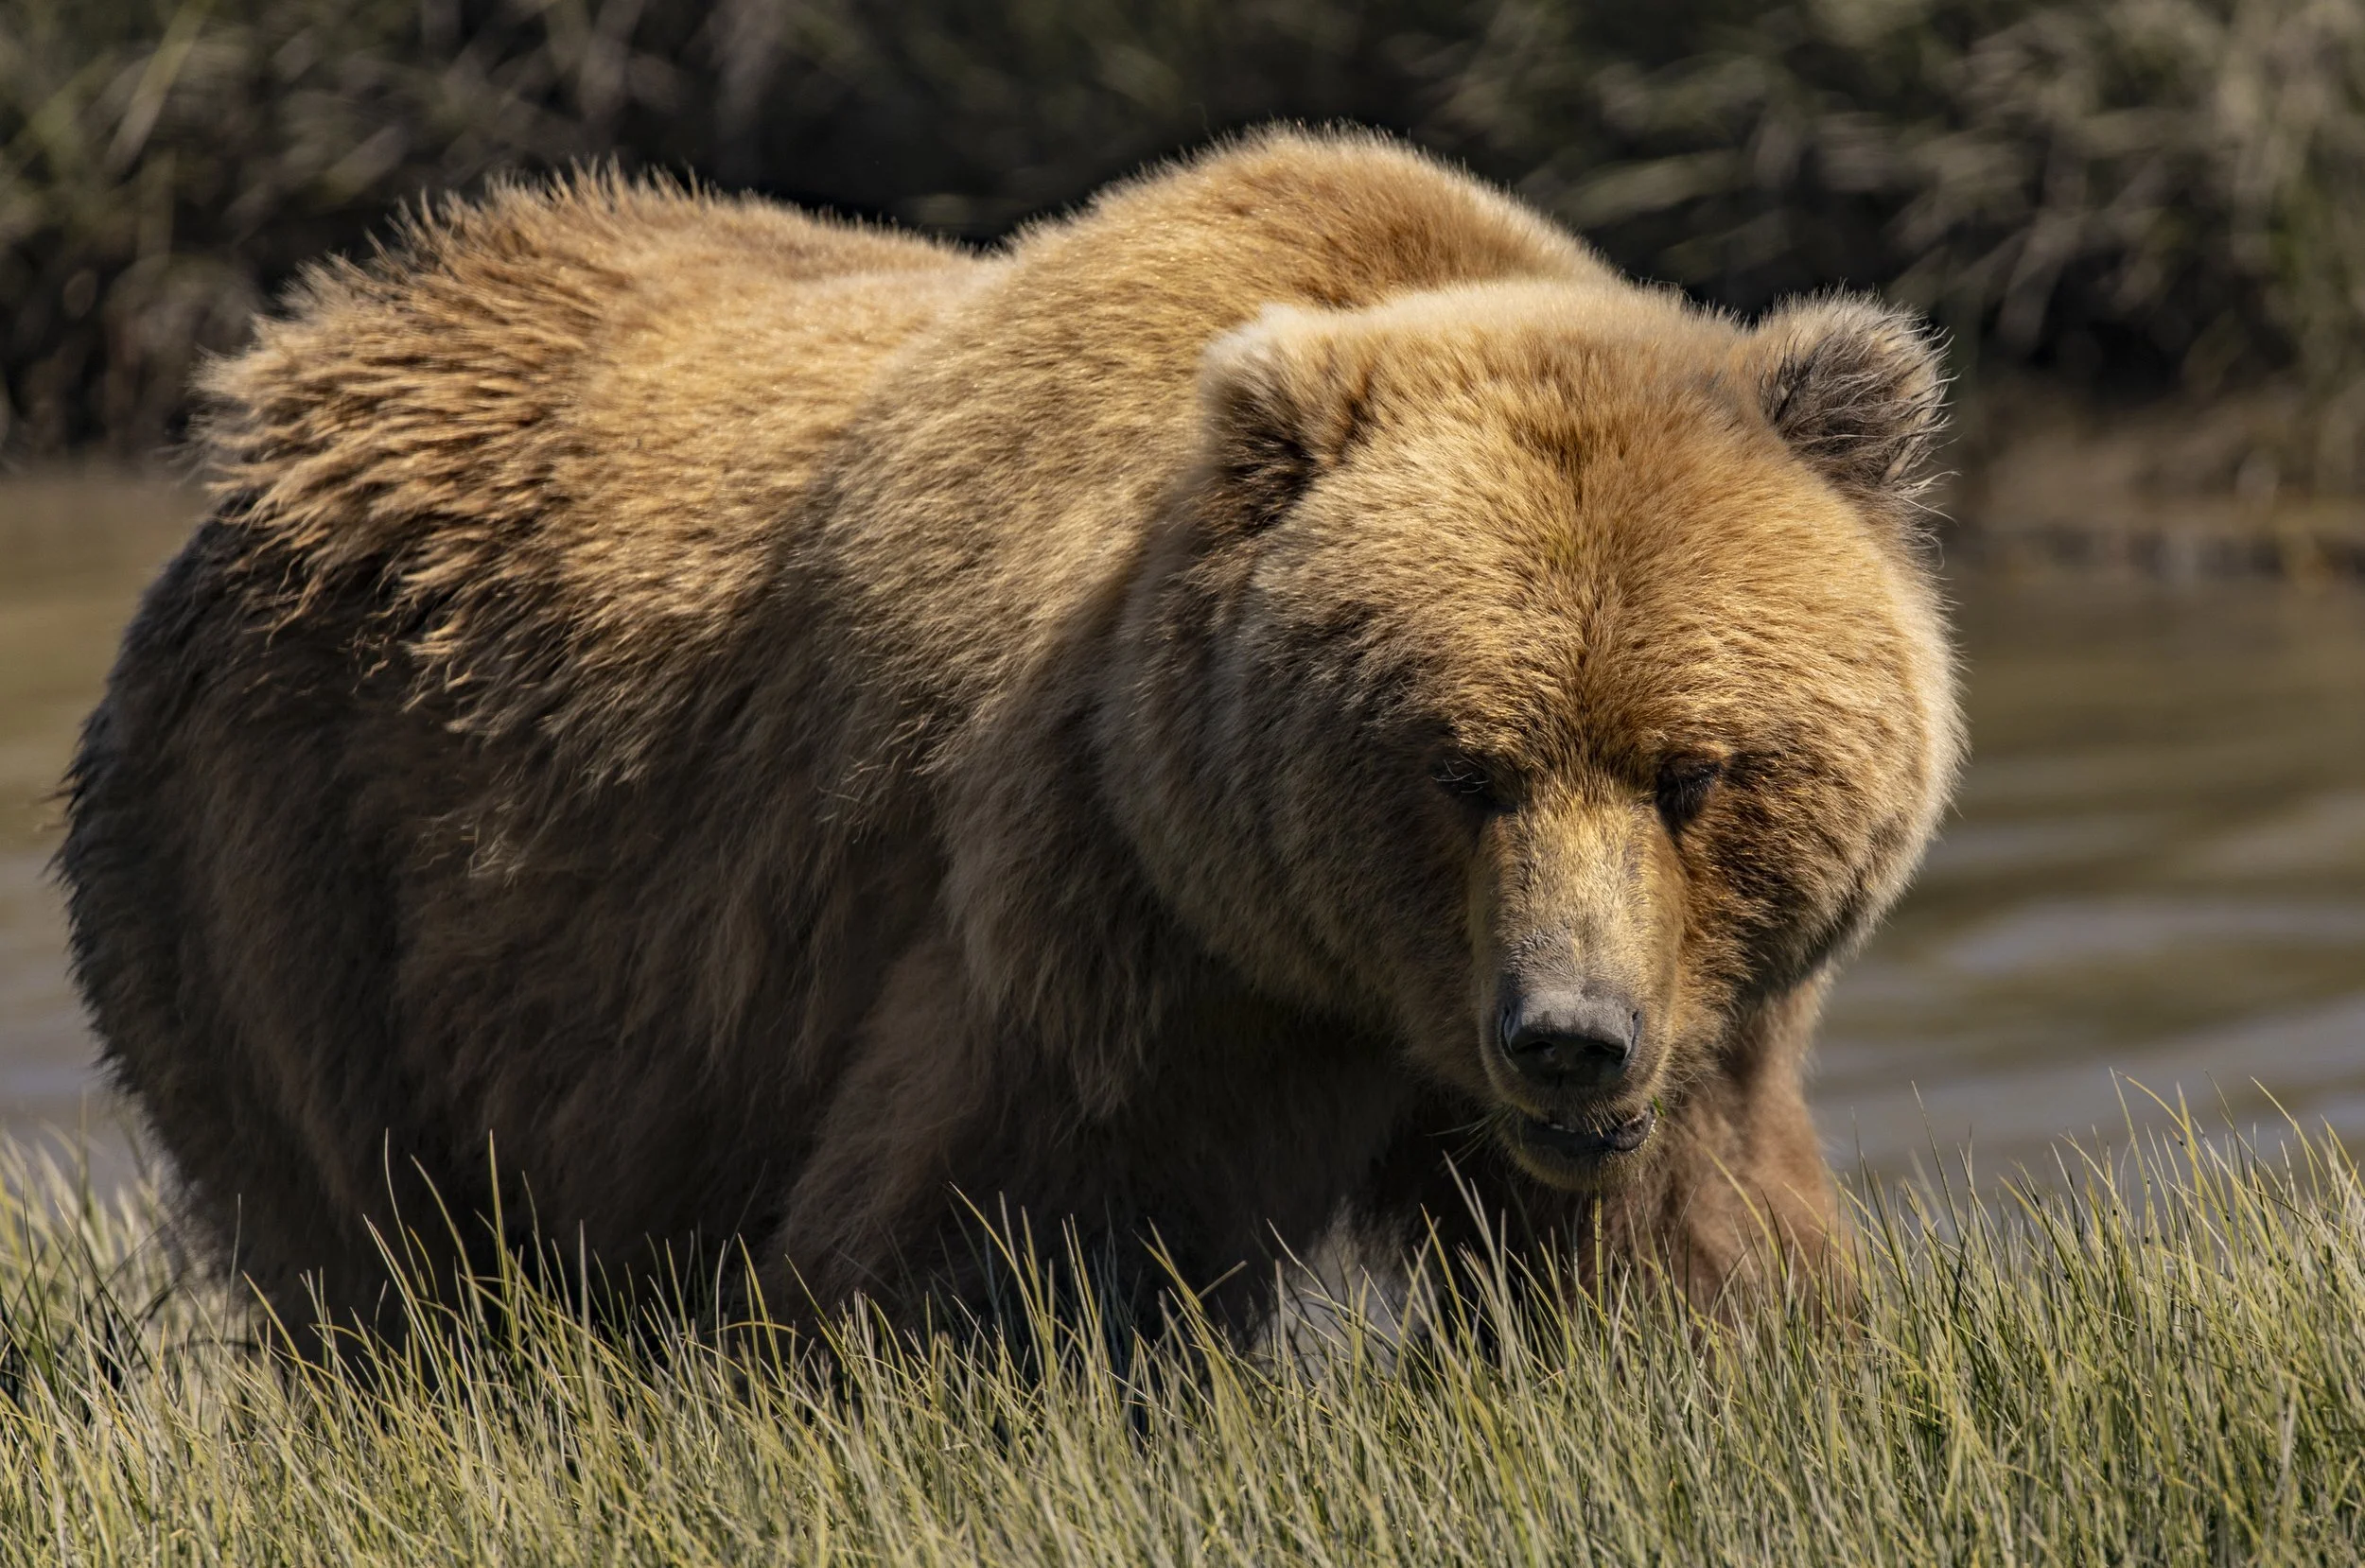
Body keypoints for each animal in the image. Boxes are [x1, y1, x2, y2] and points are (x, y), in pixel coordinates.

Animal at [58, 129, 1961, 1343]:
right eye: (1460, 765)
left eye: (1693, 769)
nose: (1568, 1036)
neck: (1335, 984)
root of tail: (287, 376)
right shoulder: (1086, 926)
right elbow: (977, 1255)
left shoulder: (1685, 1035)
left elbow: (1684, 1258)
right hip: (302, 868)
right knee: (370, 1243)